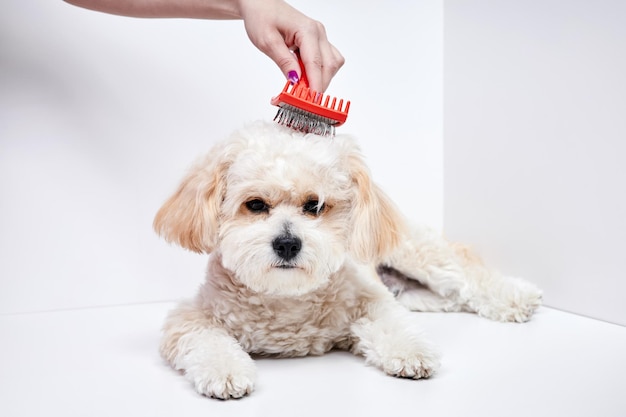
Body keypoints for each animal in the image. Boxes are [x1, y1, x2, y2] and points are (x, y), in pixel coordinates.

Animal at [154, 119, 540, 396]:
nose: (287, 244)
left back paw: (516, 297)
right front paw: (226, 371)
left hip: (418, 255)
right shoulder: (190, 317)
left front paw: (410, 352)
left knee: (466, 274)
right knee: (451, 298)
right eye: (255, 205)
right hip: (417, 294)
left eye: (315, 205)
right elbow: (205, 340)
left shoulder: (369, 300)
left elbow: (391, 322)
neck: (285, 297)